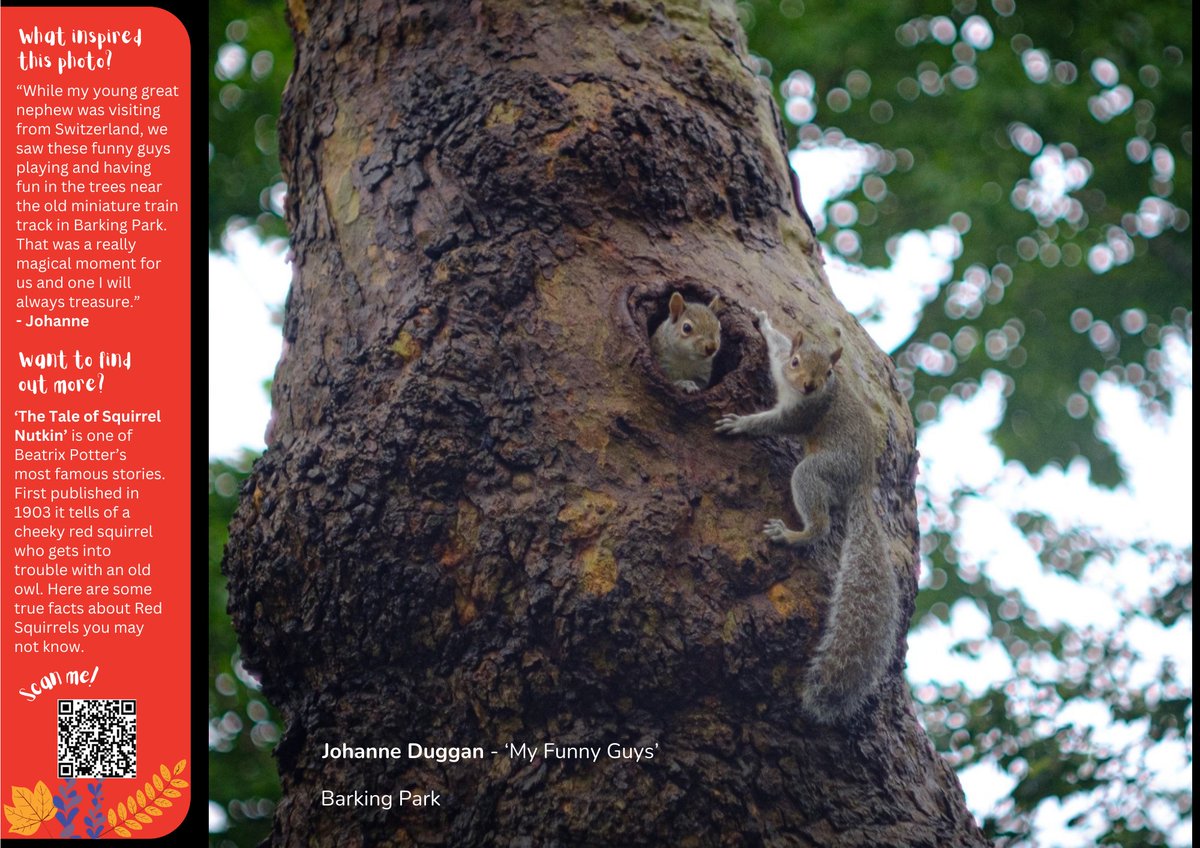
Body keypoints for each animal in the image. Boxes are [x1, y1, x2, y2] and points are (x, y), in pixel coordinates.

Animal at [714, 308, 901, 724]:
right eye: (797, 362)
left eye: (828, 372)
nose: (809, 385)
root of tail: (861, 481)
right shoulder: (782, 367)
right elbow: (776, 345)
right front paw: (764, 324)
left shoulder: (801, 414)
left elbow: (773, 423)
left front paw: (740, 424)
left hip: (818, 471)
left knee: (822, 521)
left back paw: (793, 535)